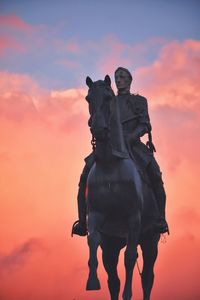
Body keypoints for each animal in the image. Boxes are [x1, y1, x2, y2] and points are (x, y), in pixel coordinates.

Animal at [83, 75, 159, 300]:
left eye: (108, 97)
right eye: (88, 98)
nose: (99, 129)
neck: (111, 166)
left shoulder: (134, 219)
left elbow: (130, 257)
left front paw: (128, 293)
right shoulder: (96, 216)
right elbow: (92, 241)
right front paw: (92, 282)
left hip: (150, 239)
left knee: (147, 277)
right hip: (112, 244)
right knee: (113, 279)